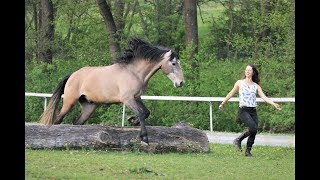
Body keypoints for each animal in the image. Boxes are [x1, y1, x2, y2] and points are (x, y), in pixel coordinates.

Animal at [39, 38, 185, 145]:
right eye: (173, 63)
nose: (181, 83)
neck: (134, 72)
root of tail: (72, 75)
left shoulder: (137, 97)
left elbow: (146, 112)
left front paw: (132, 121)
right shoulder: (127, 99)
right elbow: (141, 113)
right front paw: (144, 138)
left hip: (89, 107)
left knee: (77, 123)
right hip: (69, 102)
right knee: (58, 119)